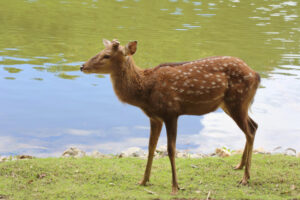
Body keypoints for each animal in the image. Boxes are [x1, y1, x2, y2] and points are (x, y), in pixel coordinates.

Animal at [79, 38, 260, 195]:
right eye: (101, 51)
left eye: (107, 55)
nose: (82, 66)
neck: (145, 92)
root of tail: (255, 74)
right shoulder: (154, 117)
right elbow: (151, 147)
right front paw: (143, 181)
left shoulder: (171, 112)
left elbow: (170, 149)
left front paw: (175, 187)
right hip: (230, 104)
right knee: (254, 125)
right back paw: (239, 165)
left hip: (237, 100)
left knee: (250, 131)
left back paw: (245, 178)